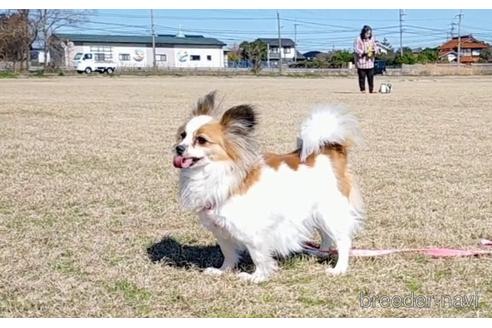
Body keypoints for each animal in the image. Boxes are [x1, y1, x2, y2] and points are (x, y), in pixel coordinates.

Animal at [173, 91, 366, 284]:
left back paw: (339, 269)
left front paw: (257, 276)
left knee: (342, 240)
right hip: (317, 212)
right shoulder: (221, 229)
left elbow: (258, 256)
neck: (213, 173)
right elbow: (228, 253)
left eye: (201, 140)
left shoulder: (253, 232)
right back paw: (322, 253)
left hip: (330, 211)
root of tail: (329, 149)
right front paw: (223, 270)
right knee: (326, 234)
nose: (178, 148)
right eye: (183, 135)